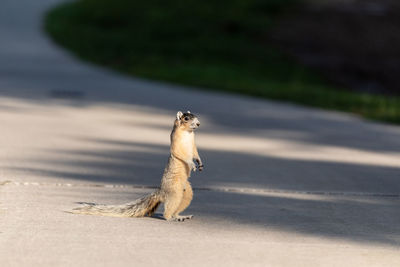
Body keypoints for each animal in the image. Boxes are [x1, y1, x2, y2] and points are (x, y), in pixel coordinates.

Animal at [71, 111, 203, 222]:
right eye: (186, 118)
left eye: (195, 116)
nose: (198, 123)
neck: (188, 133)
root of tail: (161, 191)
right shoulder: (176, 143)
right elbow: (180, 154)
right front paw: (192, 164)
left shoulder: (193, 144)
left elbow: (195, 152)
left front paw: (200, 163)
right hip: (175, 191)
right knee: (168, 209)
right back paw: (171, 218)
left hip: (187, 193)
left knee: (178, 206)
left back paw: (181, 216)